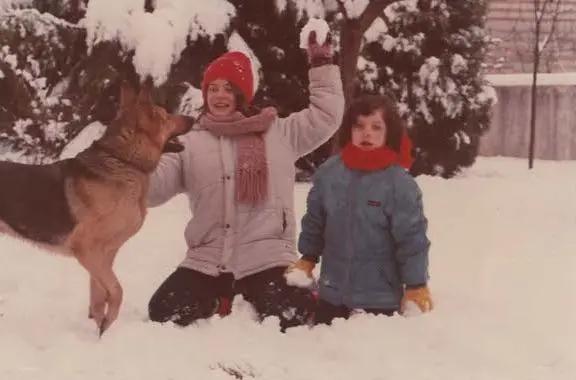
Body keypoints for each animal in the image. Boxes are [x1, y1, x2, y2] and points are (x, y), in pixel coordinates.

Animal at [0, 81, 194, 336]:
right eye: (165, 115)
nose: (194, 118)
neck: (124, 161)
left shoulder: (104, 255)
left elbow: (100, 296)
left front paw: (101, 332)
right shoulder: (86, 249)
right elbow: (117, 291)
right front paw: (105, 328)